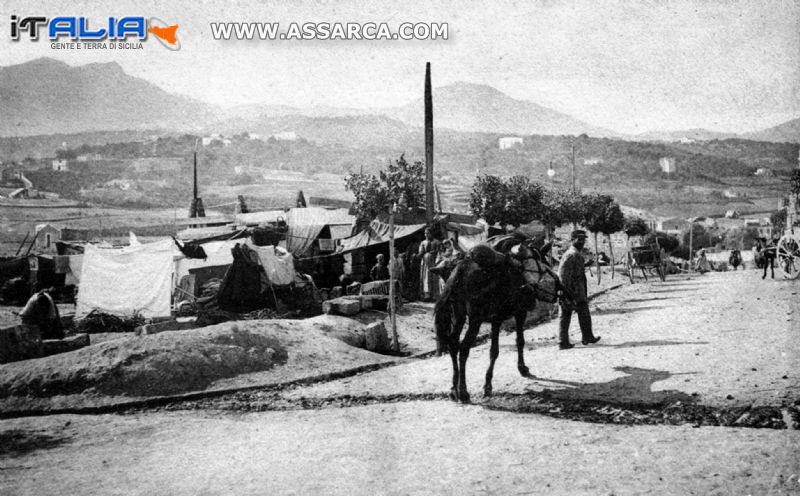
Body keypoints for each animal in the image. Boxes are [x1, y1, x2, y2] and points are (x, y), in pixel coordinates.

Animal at [434, 236, 560, 404]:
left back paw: (453, 389)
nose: (556, 283)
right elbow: (518, 341)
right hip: (475, 319)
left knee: (453, 343)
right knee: (464, 348)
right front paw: (521, 369)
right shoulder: (519, 312)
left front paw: (488, 384)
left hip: (458, 315)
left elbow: (493, 350)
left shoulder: (496, 318)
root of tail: (458, 274)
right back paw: (464, 392)